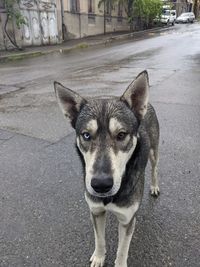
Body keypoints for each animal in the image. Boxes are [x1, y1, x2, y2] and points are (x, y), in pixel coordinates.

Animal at [54, 70, 159, 266]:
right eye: (86, 135)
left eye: (121, 135)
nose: (101, 185)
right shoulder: (95, 212)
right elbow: (99, 239)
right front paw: (99, 257)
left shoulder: (127, 220)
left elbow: (122, 250)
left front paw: (119, 262)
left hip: (154, 152)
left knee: (155, 169)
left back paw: (155, 187)